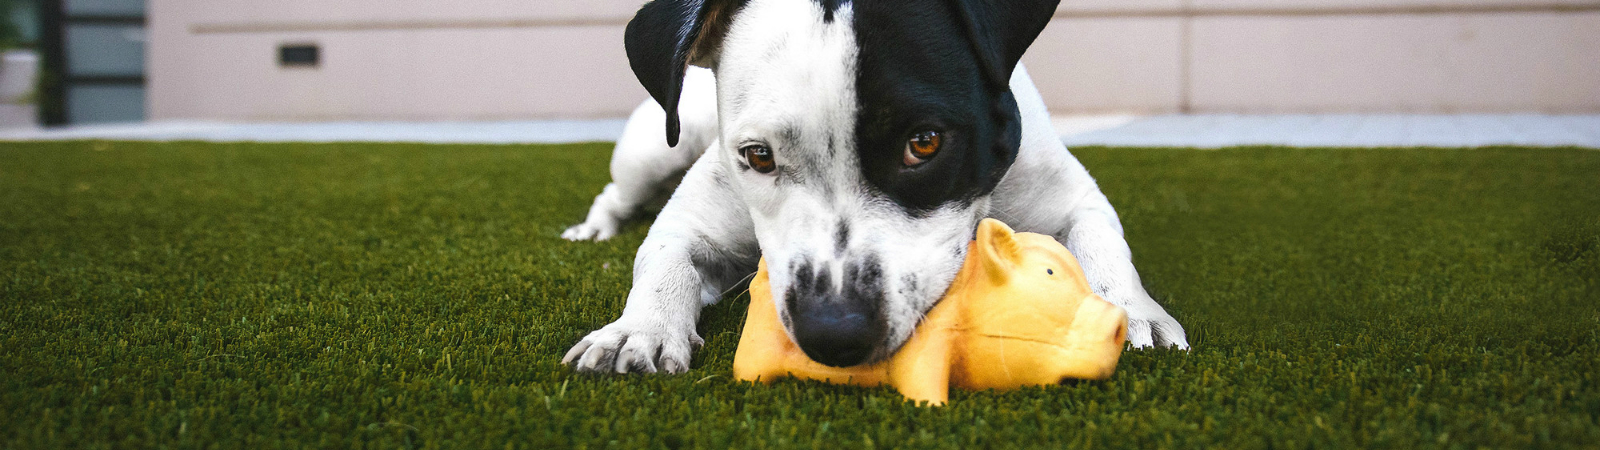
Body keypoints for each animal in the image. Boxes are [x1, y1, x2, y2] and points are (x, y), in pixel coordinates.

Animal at [563, 0, 1190, 373]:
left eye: (925, 142)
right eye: (759, 156)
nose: (833, 332)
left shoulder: (1072, 197)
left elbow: (1102, 243)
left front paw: (1130, 309)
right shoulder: (692, 220)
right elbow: (663, 260)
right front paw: (637, 329)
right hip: (651, 150)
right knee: (615, 194)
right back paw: (593, 229)